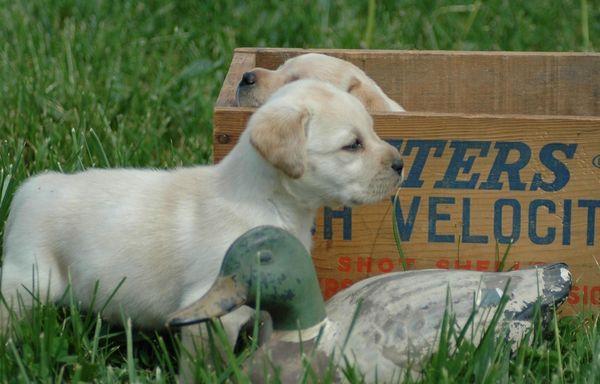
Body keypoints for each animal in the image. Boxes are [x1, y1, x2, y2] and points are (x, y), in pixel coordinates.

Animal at [1, 79, 404, 328]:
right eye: (352, 145)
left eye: (372, 131)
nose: (401, 164)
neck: (269, 201)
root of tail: (30, 188)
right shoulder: (213, 302)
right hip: (32, 279)